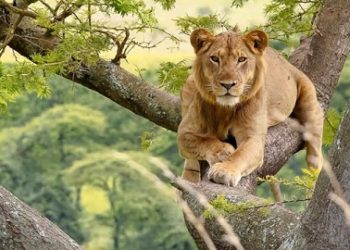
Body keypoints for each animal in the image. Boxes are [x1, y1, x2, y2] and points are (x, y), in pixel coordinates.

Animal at [178, 28, 326, 187]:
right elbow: (203, 142)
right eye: (215, 59)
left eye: (241, 59)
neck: (225, 109)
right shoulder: (185, 132)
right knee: (190, 163)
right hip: (189, 83)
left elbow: (240, 155)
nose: (228, 84)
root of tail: (288, 65)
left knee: (314, 151)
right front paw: (223, 152)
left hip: (309, 100)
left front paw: (224, 171)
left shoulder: (252, 137)